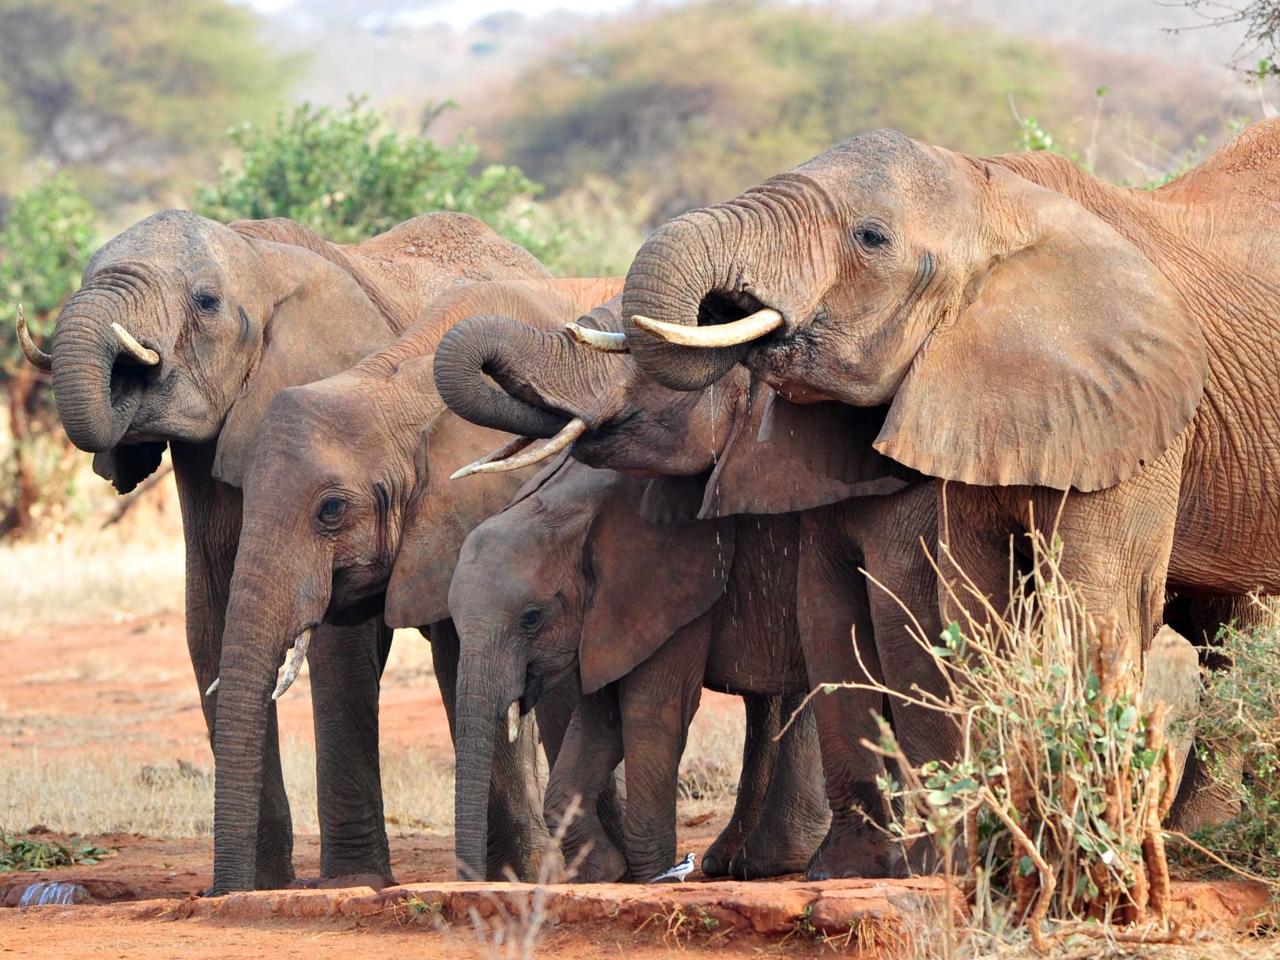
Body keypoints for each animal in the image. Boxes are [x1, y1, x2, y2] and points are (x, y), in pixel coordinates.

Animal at [18, 207, 550, 890]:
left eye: (206, 301)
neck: (254, 254)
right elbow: (211, 624)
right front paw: (258, 888)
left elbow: (337, 641)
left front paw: (351, 884)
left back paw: (527, 872)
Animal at [448, 455, 829, 885]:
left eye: (531, 618)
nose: (474, 884)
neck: (561, 509)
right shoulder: (604, 619)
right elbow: (601, 722)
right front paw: (602, 873)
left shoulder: (673, 588)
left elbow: (649, 711)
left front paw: (650, 878)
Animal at [609, 120, 1280, 706]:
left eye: (871, 237)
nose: (723, 302)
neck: (996, 194)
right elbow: (972, 603)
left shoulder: (1140, 411)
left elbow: (1103, 604)